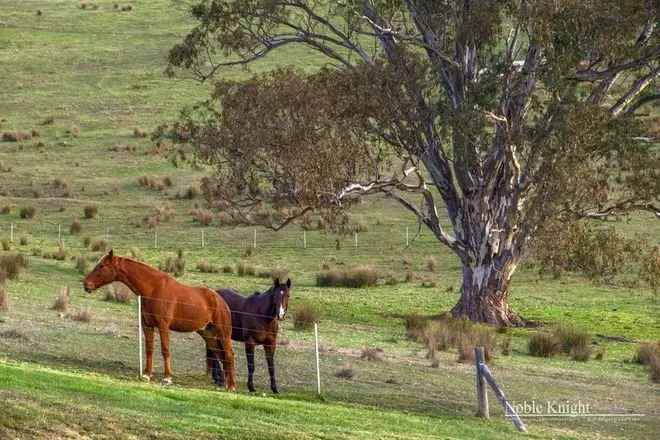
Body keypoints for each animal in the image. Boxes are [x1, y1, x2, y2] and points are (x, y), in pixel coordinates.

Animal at [83, 249, 237, 390]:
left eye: (102, 266)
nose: (86, 284)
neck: (153, 289)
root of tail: (221, 300)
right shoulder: (147, 325)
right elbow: (149, 349)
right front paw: (146, 375)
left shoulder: (163, 326)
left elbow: (165, 350)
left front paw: (167, 378)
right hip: (208, 335)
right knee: (221, 355)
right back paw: (225, 384)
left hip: (223, 333)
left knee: (229, 355)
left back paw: (231, 386)